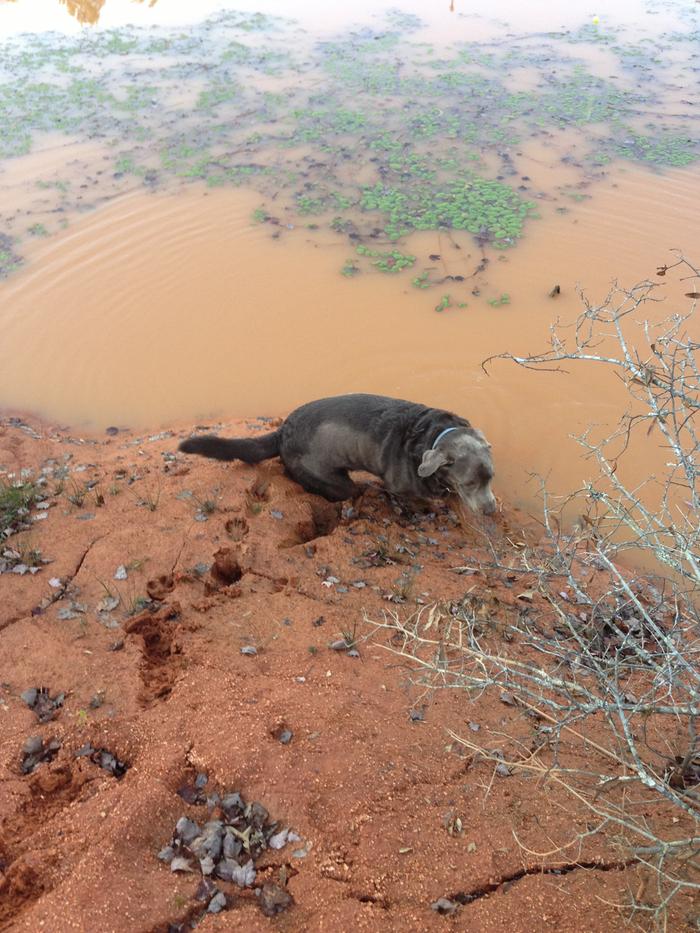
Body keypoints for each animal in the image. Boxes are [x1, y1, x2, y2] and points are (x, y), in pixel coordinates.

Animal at [180, 390, 498, 512]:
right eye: (469, 483)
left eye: (491, 478)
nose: (491, 510)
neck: (433, 435)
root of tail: (283, 432)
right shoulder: (400, 486)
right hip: (333, 479)